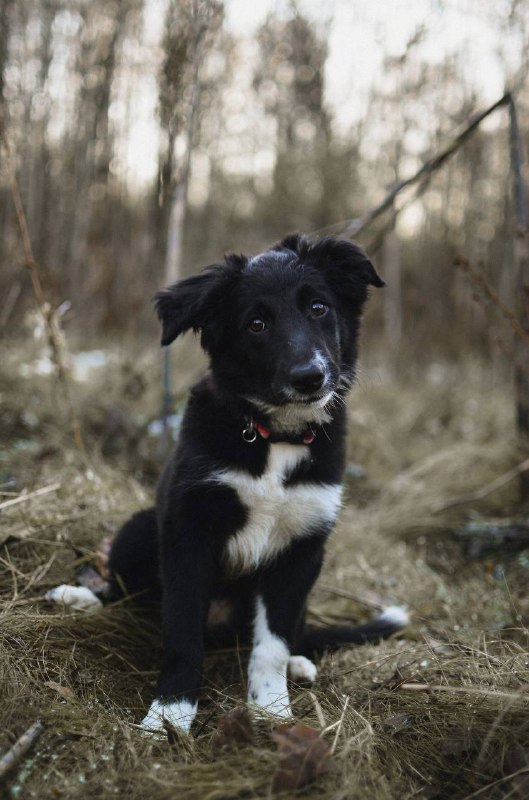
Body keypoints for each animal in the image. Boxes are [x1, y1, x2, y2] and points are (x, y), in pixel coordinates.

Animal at [46, 231, 408, 732]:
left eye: (319, 308)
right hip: (140, 529)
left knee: (288, 634)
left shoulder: (302, 549)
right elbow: (182, 635)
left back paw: (300, 661)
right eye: (256, 324)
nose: (310, 377)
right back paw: (79, 597)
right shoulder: (188, 532)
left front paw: (271, 708)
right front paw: (168, 717)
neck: (274, 435)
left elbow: (271, 645)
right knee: (124, 593)